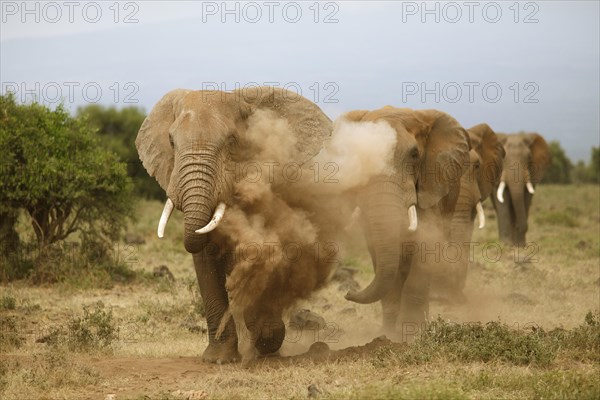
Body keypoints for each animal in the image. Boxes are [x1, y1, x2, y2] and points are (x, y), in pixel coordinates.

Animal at [342, 105, 474, 334]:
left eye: (414, 154)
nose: (348, 293)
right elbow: (379, 249)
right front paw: (388, 333)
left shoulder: (430, 184)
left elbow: (426, 247)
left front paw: (411, 332)